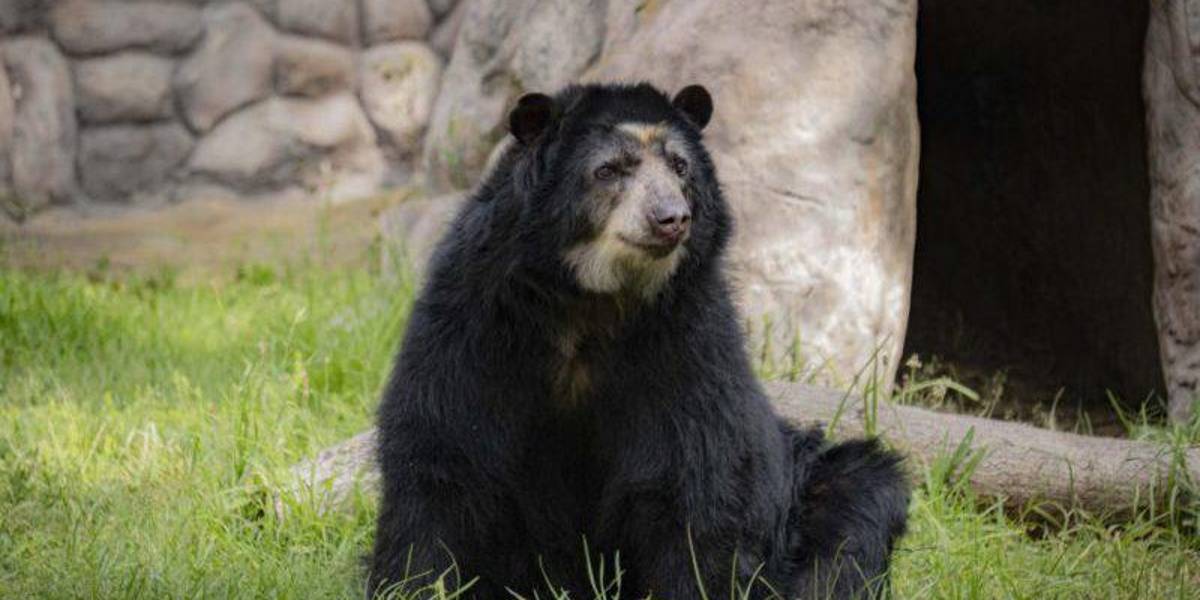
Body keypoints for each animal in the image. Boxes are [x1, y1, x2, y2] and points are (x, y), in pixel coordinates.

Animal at [368, 82, 909, 599]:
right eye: (609, 170)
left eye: (680, 167)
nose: (671, 218)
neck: (591, 297)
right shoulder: (474, 322)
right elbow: (444, 453)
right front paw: (414, 585)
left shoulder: (688, 338)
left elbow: (695, 475)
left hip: (803, 487)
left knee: (855, 508)